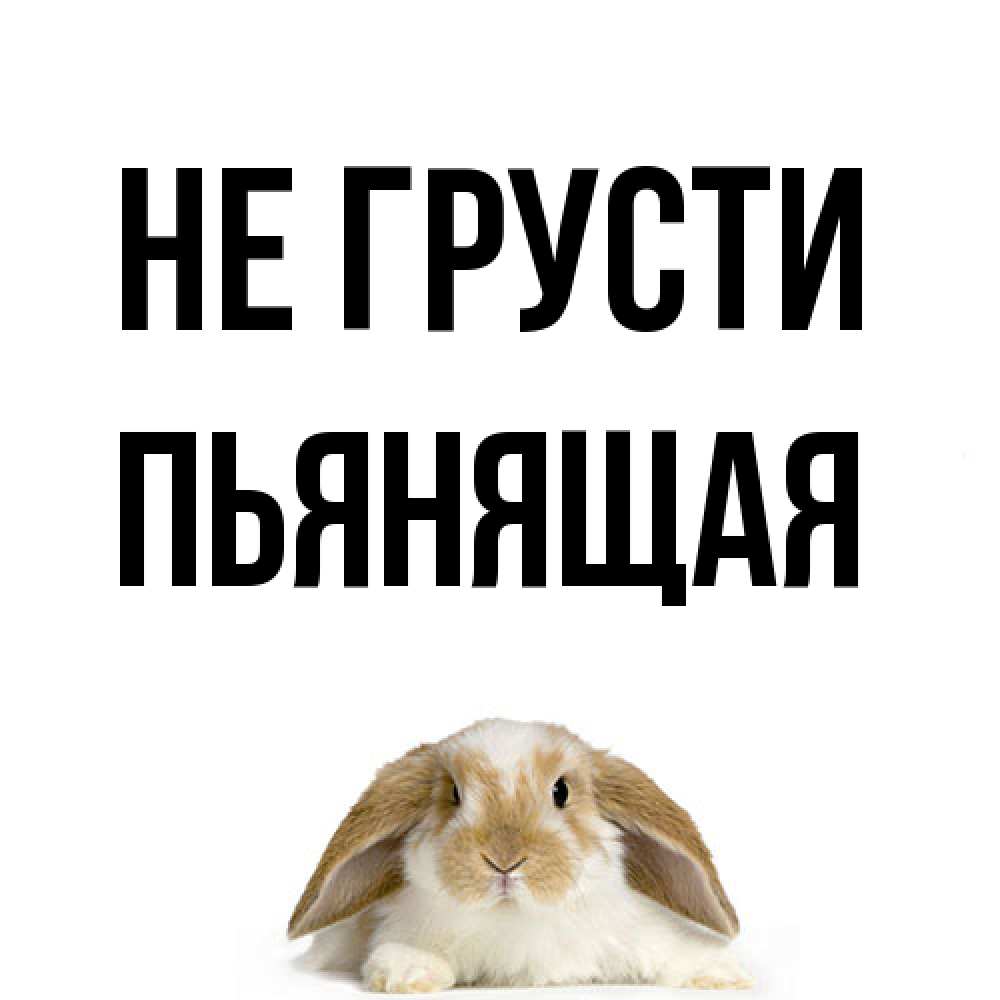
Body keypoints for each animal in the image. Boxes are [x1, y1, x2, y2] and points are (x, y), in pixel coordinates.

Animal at [288, 719, 751, 991]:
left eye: (561, 791)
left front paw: (723, 973)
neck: (516, 918)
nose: (504, 860)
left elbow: (673, 950)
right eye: (454, 794)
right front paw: (409, 972)